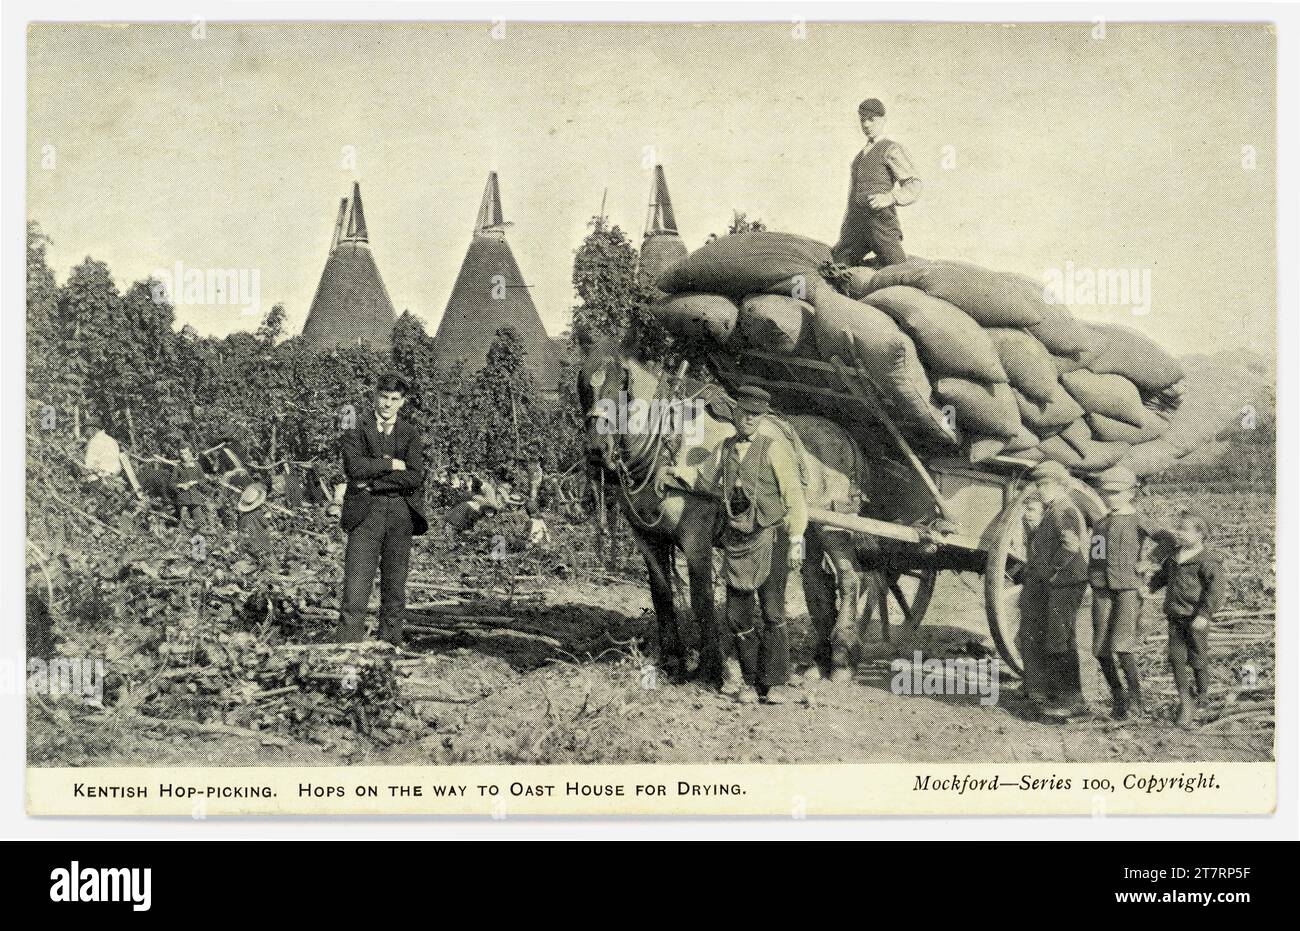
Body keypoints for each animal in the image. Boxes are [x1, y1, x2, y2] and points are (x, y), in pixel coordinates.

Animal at [582, 335, 878, 681]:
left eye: (622, 384)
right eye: (584, 385)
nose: (597, 449)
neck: (670, 442)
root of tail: (847, 437)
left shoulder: (695, 537)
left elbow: (702, 598)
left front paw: (712, 667)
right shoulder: (647, 538)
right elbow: (662, 596)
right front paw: (672, 661)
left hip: (835, 526)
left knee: (850, 579)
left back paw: (842, 661)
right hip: (809, 531)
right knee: (818, 585)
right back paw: (820, 661)